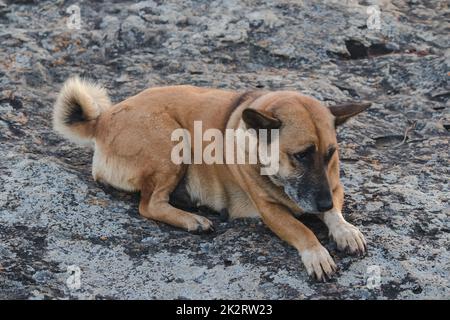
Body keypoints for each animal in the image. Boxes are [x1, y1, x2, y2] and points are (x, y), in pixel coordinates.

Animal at [53, 77, 370, 280]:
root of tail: (101, 120)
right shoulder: (271, 210)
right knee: (149, 205)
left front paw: (345, 230)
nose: (322, 203)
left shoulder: (334, 187)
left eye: (330, 153)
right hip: (173, 142)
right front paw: (317, 253)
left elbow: (336, 214)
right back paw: (192, 220)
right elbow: (301, 229)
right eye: (301, 155)